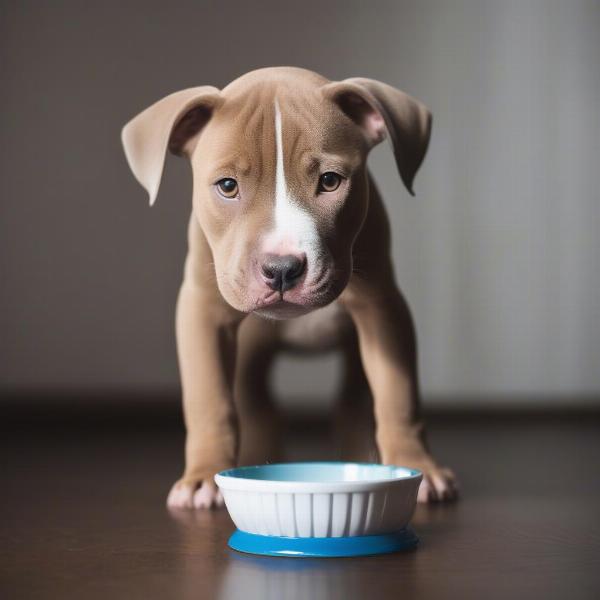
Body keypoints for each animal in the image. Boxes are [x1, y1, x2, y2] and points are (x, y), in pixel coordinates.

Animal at [123, 64, 460, 506]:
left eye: (330, 181)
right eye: (227, 186)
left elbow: (398, 392)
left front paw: (416, 464)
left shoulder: (383, 309)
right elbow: (208, 399)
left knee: (352, 407)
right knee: (259, 411)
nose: (281, 268)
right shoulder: (202, 309)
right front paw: (202, 477)